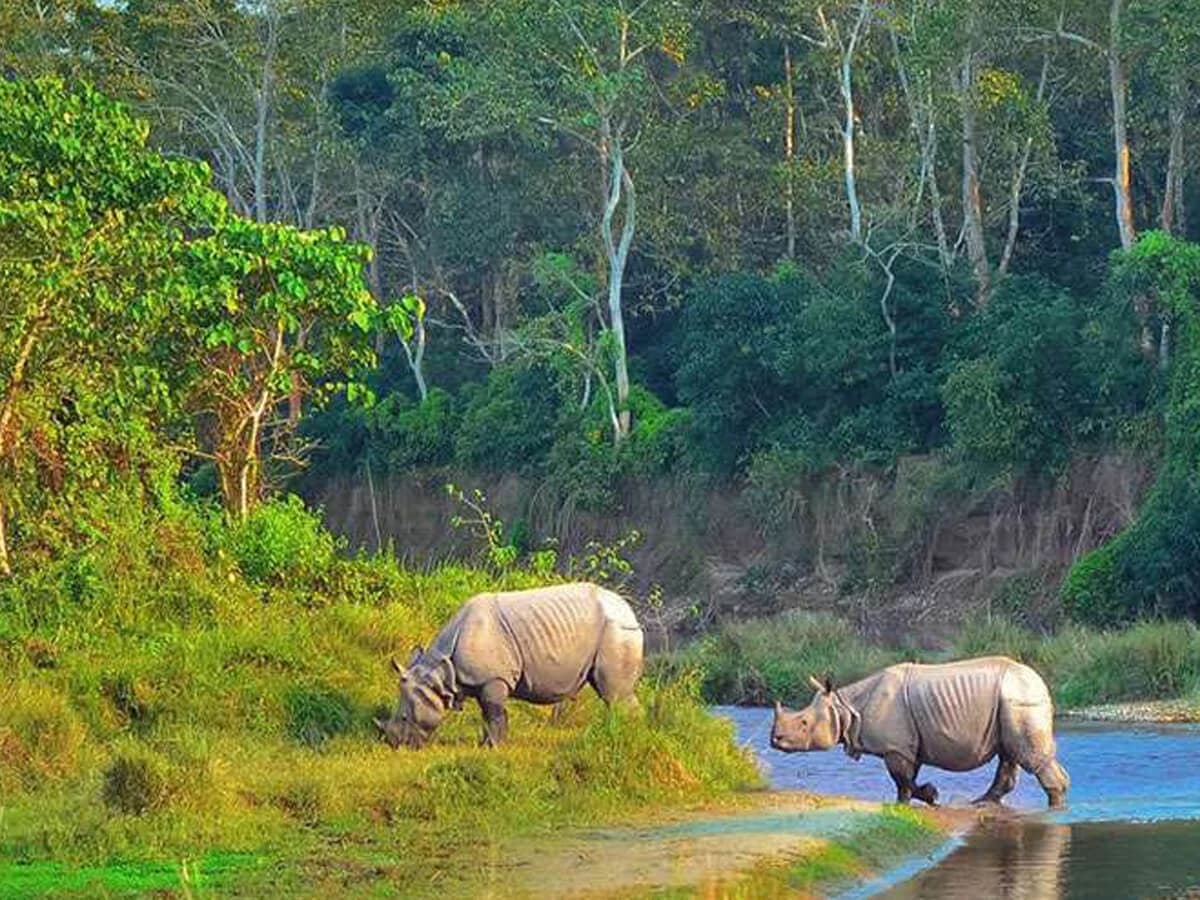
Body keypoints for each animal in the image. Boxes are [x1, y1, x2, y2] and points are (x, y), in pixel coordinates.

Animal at [376, 582, 644, 748]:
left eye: (404, 718)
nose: (394, 745)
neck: (439, 672)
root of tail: (630, 611)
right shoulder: (483, 680)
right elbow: (488, 714)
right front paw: (485, 745)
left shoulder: (493, 678)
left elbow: (493, 712)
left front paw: (492, 747)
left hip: (617, 629)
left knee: (614, 694)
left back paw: (622, 740)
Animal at [770, 656, 1070, 808]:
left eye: (804, 723)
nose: (774, 740)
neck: (846, 706)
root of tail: (1041, 682)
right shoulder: (905, 746)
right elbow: (905, 780)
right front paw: (904, 804)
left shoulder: (895, 747)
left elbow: (902, 778)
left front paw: (931, 795)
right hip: (1010, 702)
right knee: (1010, 754)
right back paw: (981, 803)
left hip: (1018, 698)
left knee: (1028, 757)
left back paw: (1054, 808)